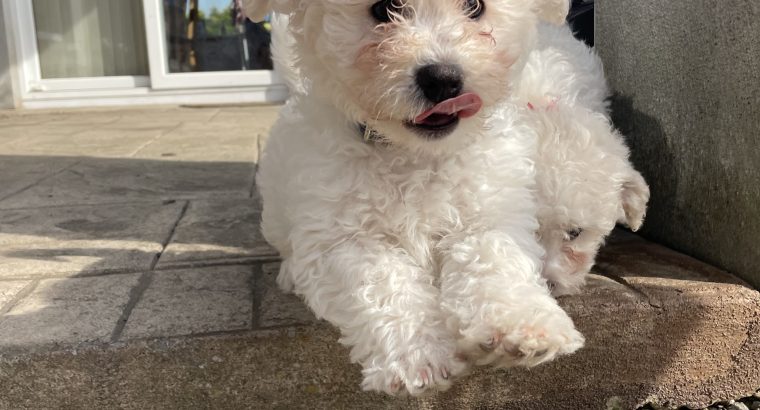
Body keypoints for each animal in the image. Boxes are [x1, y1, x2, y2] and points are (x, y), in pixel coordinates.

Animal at [246, 0, 584, 398]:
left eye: (474, 7)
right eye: (384, 9)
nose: (443, 78)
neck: (414, 153)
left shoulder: (491, 209)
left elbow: (494, 258)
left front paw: (521, 323)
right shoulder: (341, 237)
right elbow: (382, 283)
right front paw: (418, 357)